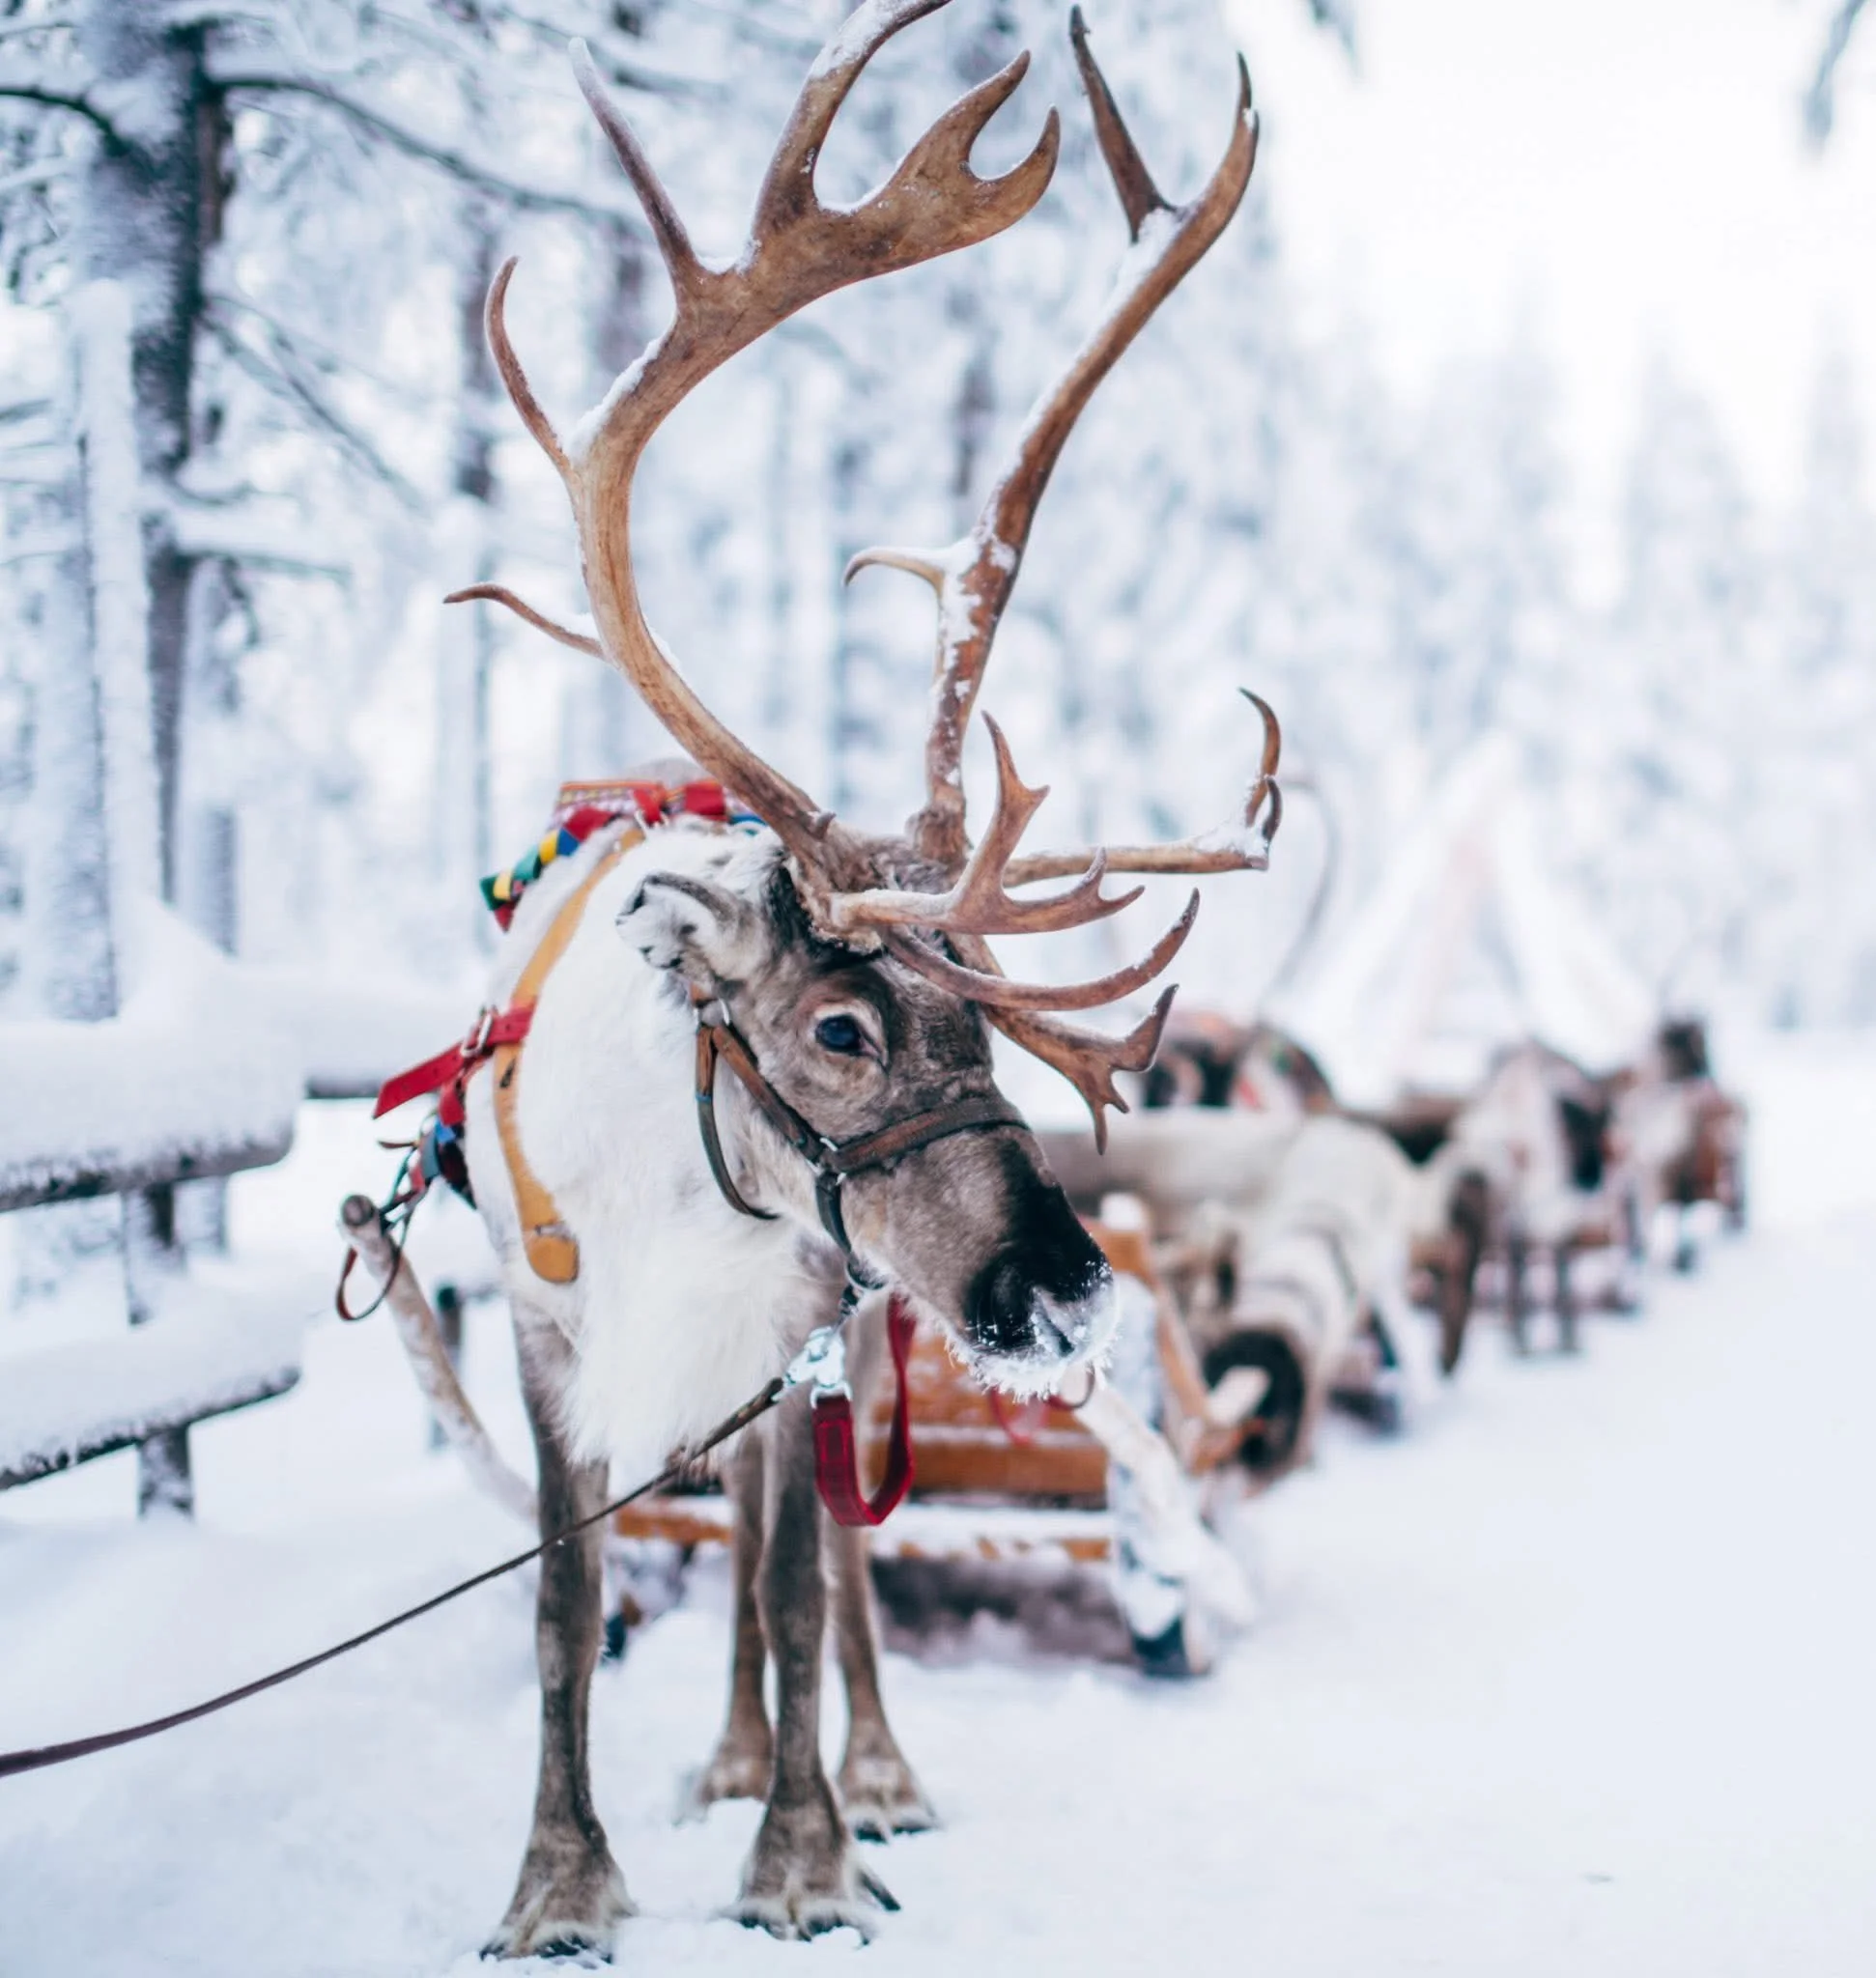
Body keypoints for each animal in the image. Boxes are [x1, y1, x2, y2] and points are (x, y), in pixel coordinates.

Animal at [354, 0, 1275, 1955]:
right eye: (839, 1025)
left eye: (995, 1031)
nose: (1066, 1291)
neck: (678, 1191)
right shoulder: (548, 1337)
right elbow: (567, 1602)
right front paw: (561, 1881)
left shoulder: (803, 1329)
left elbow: (791, 1578)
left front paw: (806, 1857)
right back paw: (714, 1760)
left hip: (858, 1322)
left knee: (829, 1560)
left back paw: (860, 1771)